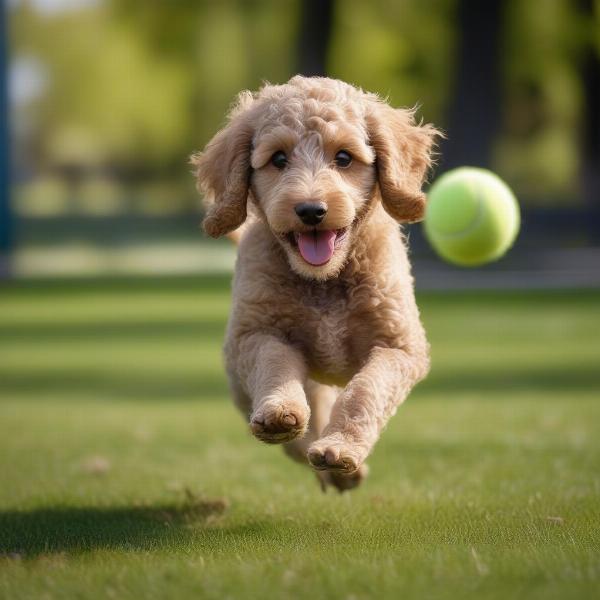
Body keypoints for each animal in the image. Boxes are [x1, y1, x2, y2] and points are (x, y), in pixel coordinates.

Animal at [193, 75, 440, 490]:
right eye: (278, 159)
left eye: (344, 158)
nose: (311, 210)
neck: (325, 281)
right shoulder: (254, 335)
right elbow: (275, 362)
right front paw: (280, 412)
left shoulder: (399, 346)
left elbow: (366, 389)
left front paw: (341, 448)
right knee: (303, 431)